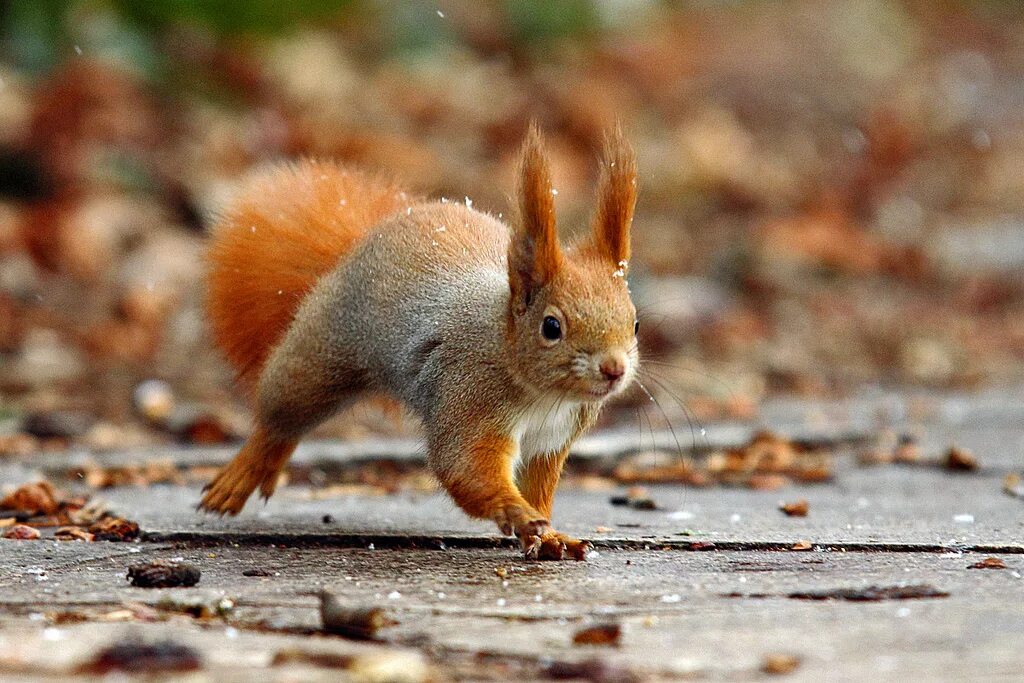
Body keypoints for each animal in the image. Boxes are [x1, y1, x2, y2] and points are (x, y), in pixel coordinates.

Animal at [195, 124, 634, 561]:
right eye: (551, 327)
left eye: (634, 323)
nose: (614, 369)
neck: (540, 394)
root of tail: (363, 242)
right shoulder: (468, 393)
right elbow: (463, 464)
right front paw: (517, 512)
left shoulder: (552, 439)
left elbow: (539, 487)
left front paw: (550, 536)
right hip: (323, 350)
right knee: (281, 417)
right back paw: (245, 473)